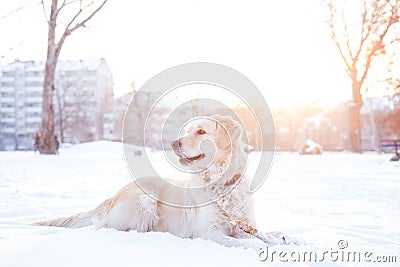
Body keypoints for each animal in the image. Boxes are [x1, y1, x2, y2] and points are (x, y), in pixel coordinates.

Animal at [34, 115, 276, 249]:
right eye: (187, 131)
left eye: (201, 131)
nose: (174, 142)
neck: (220, 183)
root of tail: (111, 198)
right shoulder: (209, 232)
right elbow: (242, 242)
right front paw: (256, 246)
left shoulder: (247, 224)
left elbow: (268, 234)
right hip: (144, 201)